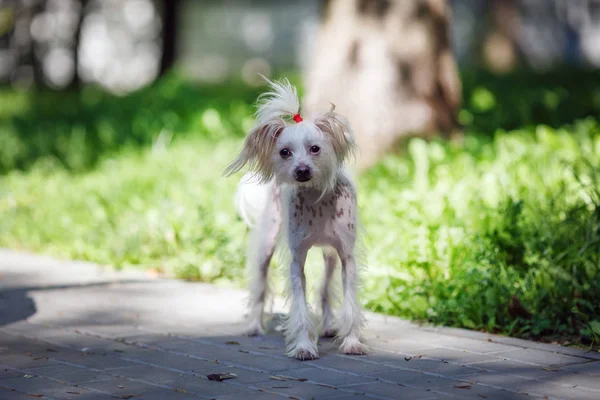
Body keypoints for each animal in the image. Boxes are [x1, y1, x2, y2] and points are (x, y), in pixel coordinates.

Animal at [225, 77, 366, 360]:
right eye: (285, 152)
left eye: (315, 148)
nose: (301, 170)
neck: (317, 199)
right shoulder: (296, 262)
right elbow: (300, 308)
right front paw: (303, 346)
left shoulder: (347, 257)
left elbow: (349, 304)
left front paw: (352, 341)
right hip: (267, 243)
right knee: (260, 287)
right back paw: (254, 326)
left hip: (330, 255)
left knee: (324, 289)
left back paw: (327, 326)